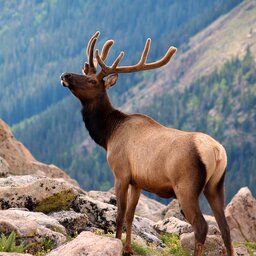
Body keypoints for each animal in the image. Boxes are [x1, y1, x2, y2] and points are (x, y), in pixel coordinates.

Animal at [60, 32, 236, 256]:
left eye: (91, 80)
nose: (65, 75)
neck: (108, 135)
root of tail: (216, 151)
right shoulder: (138, 181)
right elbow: (130, 215)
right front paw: (128, 249)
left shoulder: (121, 172)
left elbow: (119, 215)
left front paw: (118, 245)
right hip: (216, 185)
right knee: (225, 228)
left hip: (186, 186)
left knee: (201, 226)